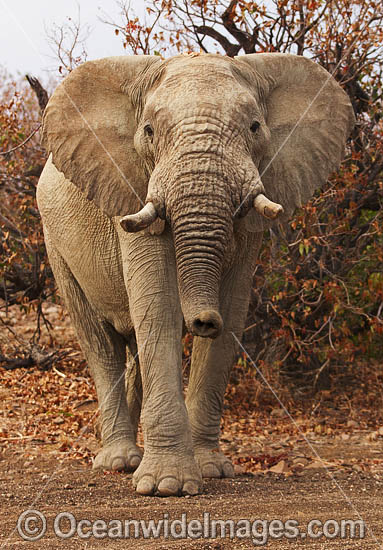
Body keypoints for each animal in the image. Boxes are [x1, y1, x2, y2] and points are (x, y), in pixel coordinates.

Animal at [37, 52, 356, 500]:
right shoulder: (132, 189)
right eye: (149, 131)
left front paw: (211, 470)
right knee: (99, 341)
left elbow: (233, 313)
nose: (203, 320)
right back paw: (119, 462)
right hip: (55, 242)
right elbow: (159, 307)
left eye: (255, 127)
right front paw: (165, 486)